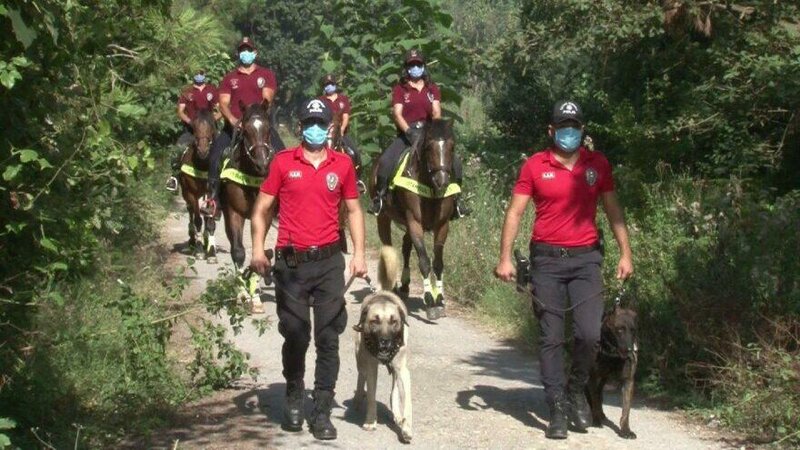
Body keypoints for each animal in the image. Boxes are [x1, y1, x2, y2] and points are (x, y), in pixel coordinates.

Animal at [179, 108, 219, 262]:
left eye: (211, 126)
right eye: (194, 127)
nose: (203, 150)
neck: (203, 164)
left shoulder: (212, 192)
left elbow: (210, 220)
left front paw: (211, 251)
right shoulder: (191, 194)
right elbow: (197, 220)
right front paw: (200, 251)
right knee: (191, 212)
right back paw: (192, 240)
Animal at [354, 244, 412, 442]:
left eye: (394, 321)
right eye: (375, 321)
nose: (385, 342)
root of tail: (383, 291)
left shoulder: (403, 371)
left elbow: (406, 402)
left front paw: (406, 427)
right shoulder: (371, 367)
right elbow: (372, 395)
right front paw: (371, 421)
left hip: (395, 370)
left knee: (393, 391)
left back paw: (396, 414)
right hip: (361, 360)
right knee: (361, 377)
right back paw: (358, 397)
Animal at [368, 119, 456, 320]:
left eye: (452, 147)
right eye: (429, 146)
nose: (442, 181)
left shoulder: (442, 226)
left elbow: (438, 263)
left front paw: (440, 299)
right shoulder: (414, 222)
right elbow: (424, 261)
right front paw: (430, 301)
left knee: (406, 247)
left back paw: (405, 285)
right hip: (383, 217)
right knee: (389, 248)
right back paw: (393, 287)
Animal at [584, 302, 636, 440]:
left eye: (633, 330)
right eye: (620, 329)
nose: (630, 350)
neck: (613, 356)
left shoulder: (628, 381)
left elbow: (626, 410)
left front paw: (626, 430)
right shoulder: (594, 378)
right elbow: (595, 399)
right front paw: (596, 420)